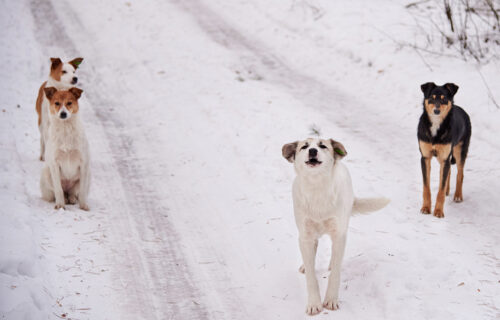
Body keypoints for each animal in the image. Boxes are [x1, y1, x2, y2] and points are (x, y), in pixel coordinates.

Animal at [284, 137, 388, 316]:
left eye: (322, 146)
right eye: (304, 146)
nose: (312, 151)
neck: (317, 188)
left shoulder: (339, 234)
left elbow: (336, 274)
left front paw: (331, 299)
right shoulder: (305, 235)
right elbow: (311, 275)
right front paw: (314, 303)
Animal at [420, 82, 470, 218]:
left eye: (444, 99)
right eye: (432, 98)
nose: (436, 111)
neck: (436, 125)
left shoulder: (444, 157)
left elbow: (440, 190)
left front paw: (438, 211)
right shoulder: (425, 157)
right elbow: (426, 187)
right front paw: (426, 208)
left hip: (459, 152)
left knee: (460, 174)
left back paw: (458, 196)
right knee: (449, 172)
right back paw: (449, 191)